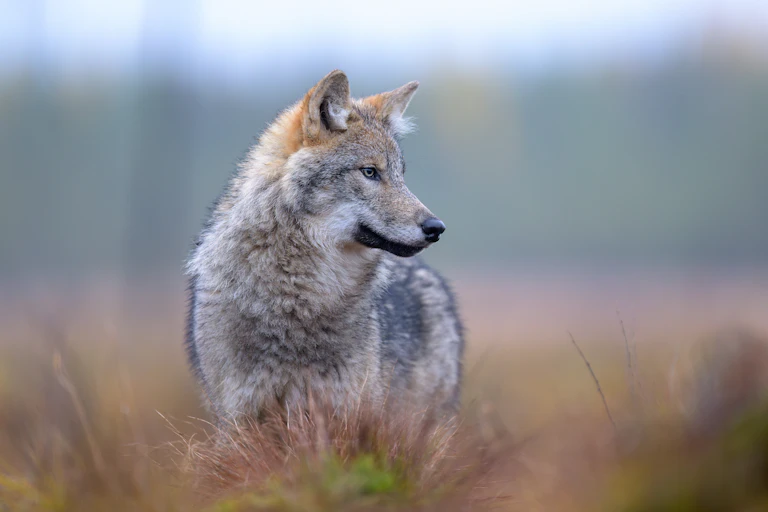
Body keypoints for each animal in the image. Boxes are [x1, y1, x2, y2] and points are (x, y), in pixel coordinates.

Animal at [186, 70, 463, 419]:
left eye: (401, 176)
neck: (299, 298)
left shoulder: (347, 410)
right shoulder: (239, 415)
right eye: (370, 172)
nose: (436, 228)